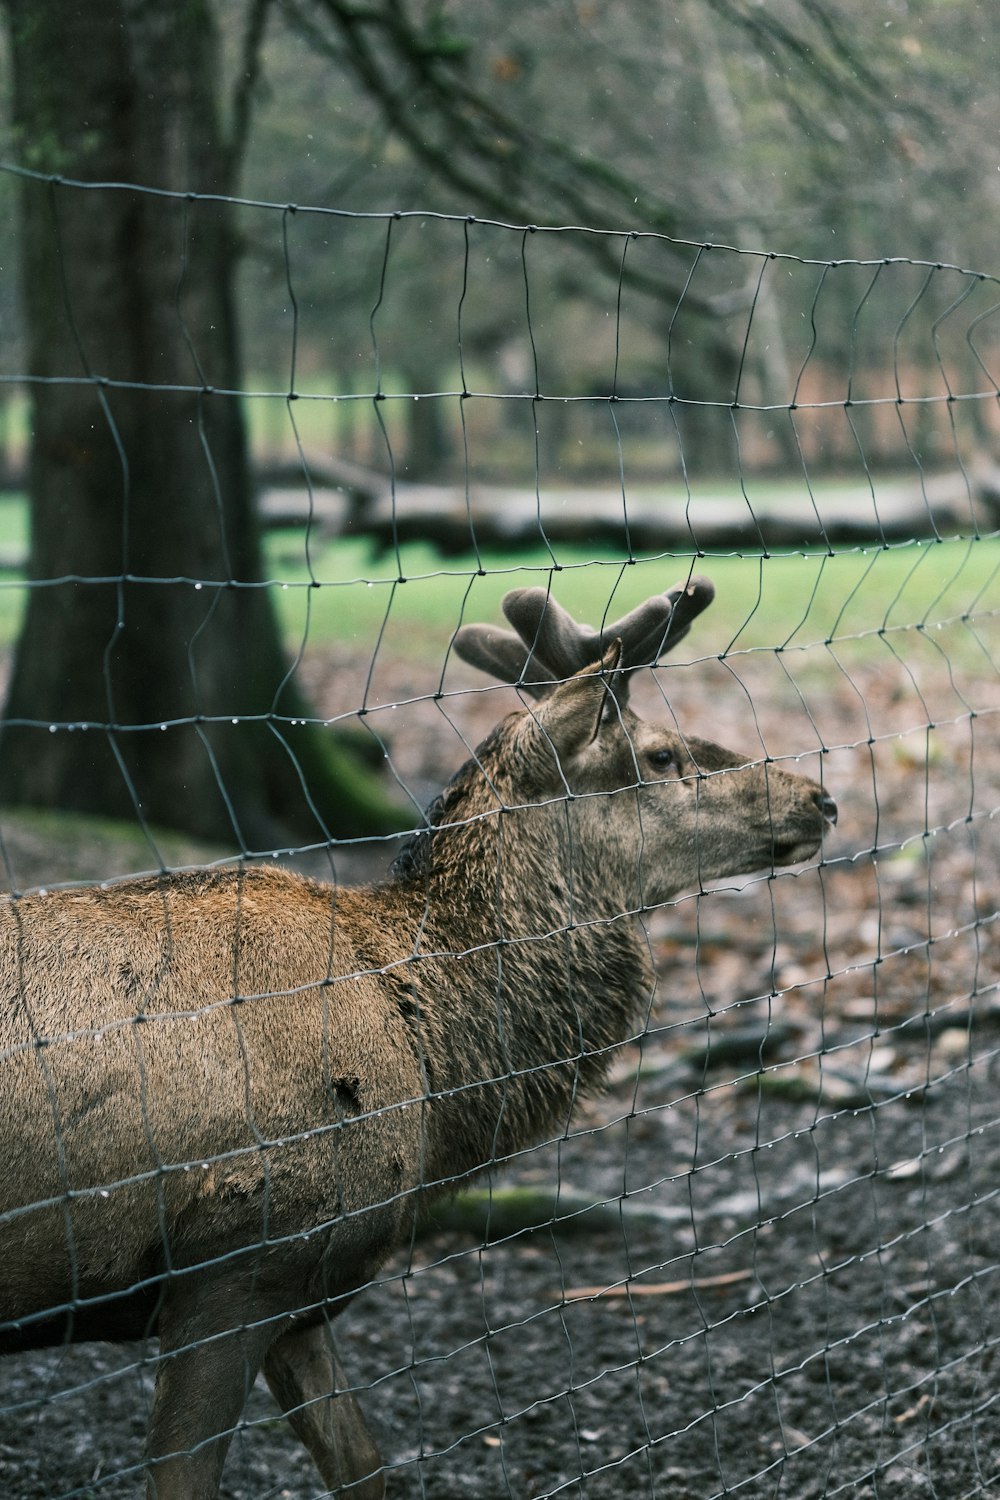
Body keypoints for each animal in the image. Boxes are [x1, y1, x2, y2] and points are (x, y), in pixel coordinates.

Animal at [0, 573, 839, 1500]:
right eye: (658, 756)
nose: (820, 797)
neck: (431, 1079)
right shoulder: (235, 1258)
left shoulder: (306, 1282)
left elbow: (364, 1468)